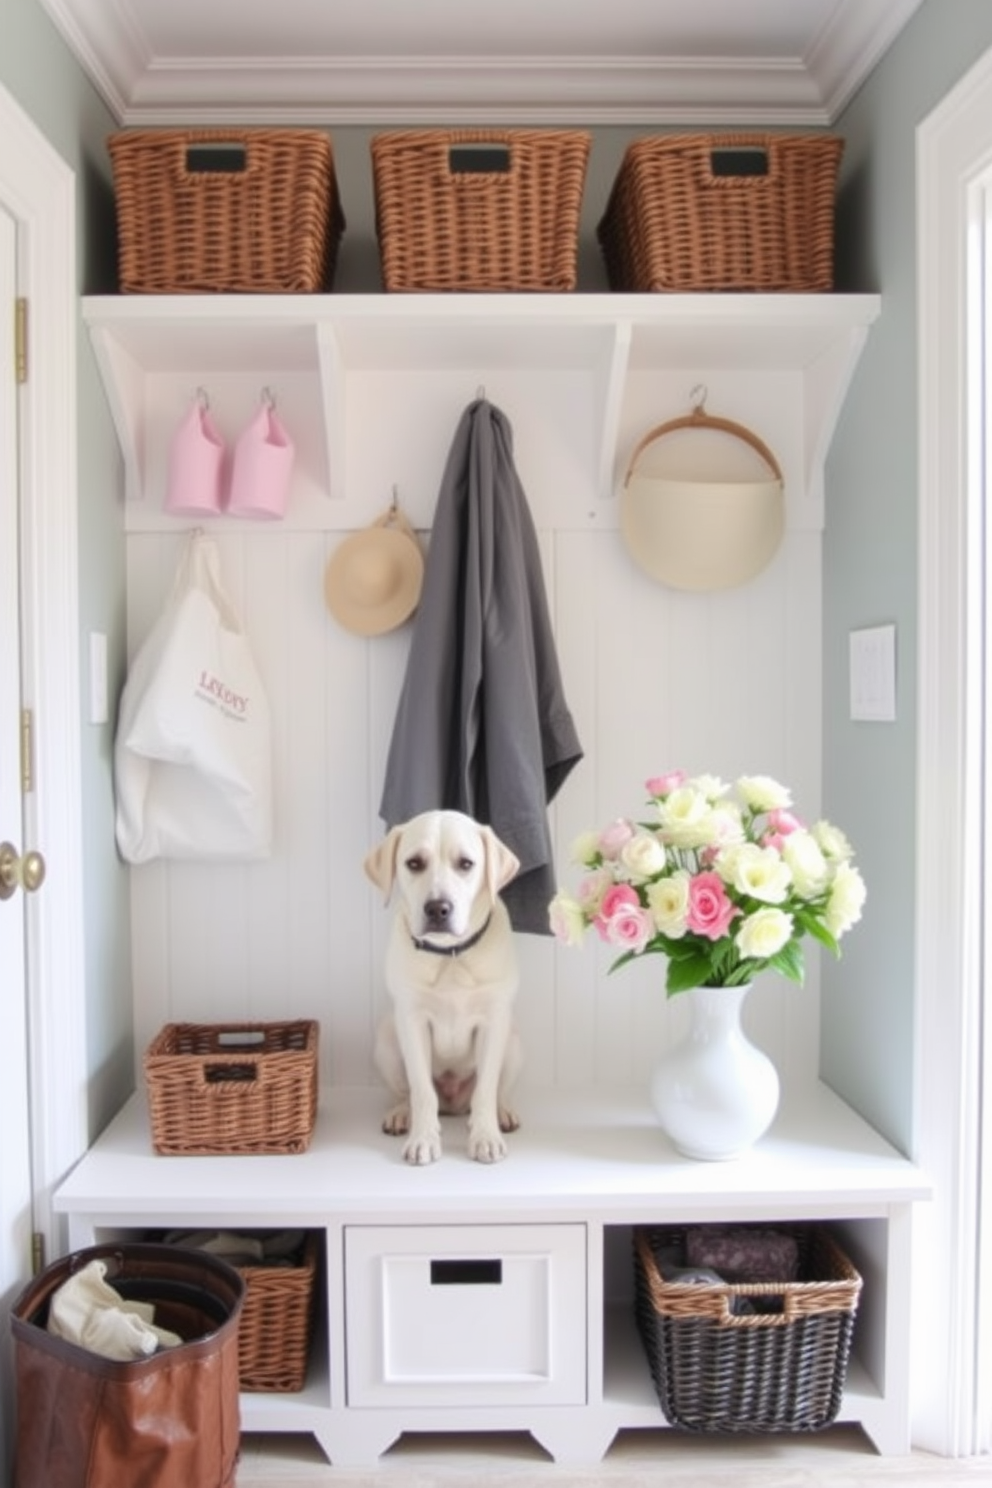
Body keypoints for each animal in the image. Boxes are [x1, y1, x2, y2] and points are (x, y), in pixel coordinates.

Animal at [362, 815, 520, 1160]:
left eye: (466, 864)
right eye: (414, 863)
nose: (437, 909)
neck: (450, 955)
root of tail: (453, 1104)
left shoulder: (493, 1020)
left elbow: (486, 1091)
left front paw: (486, 1137)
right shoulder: (412, 1020)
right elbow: (422, 1092)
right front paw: (423, 1139)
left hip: (514, 1042)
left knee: (495, 1093)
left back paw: (502, 1114)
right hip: (387, 1040)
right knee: (407, 1093)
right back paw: (401, 1114)